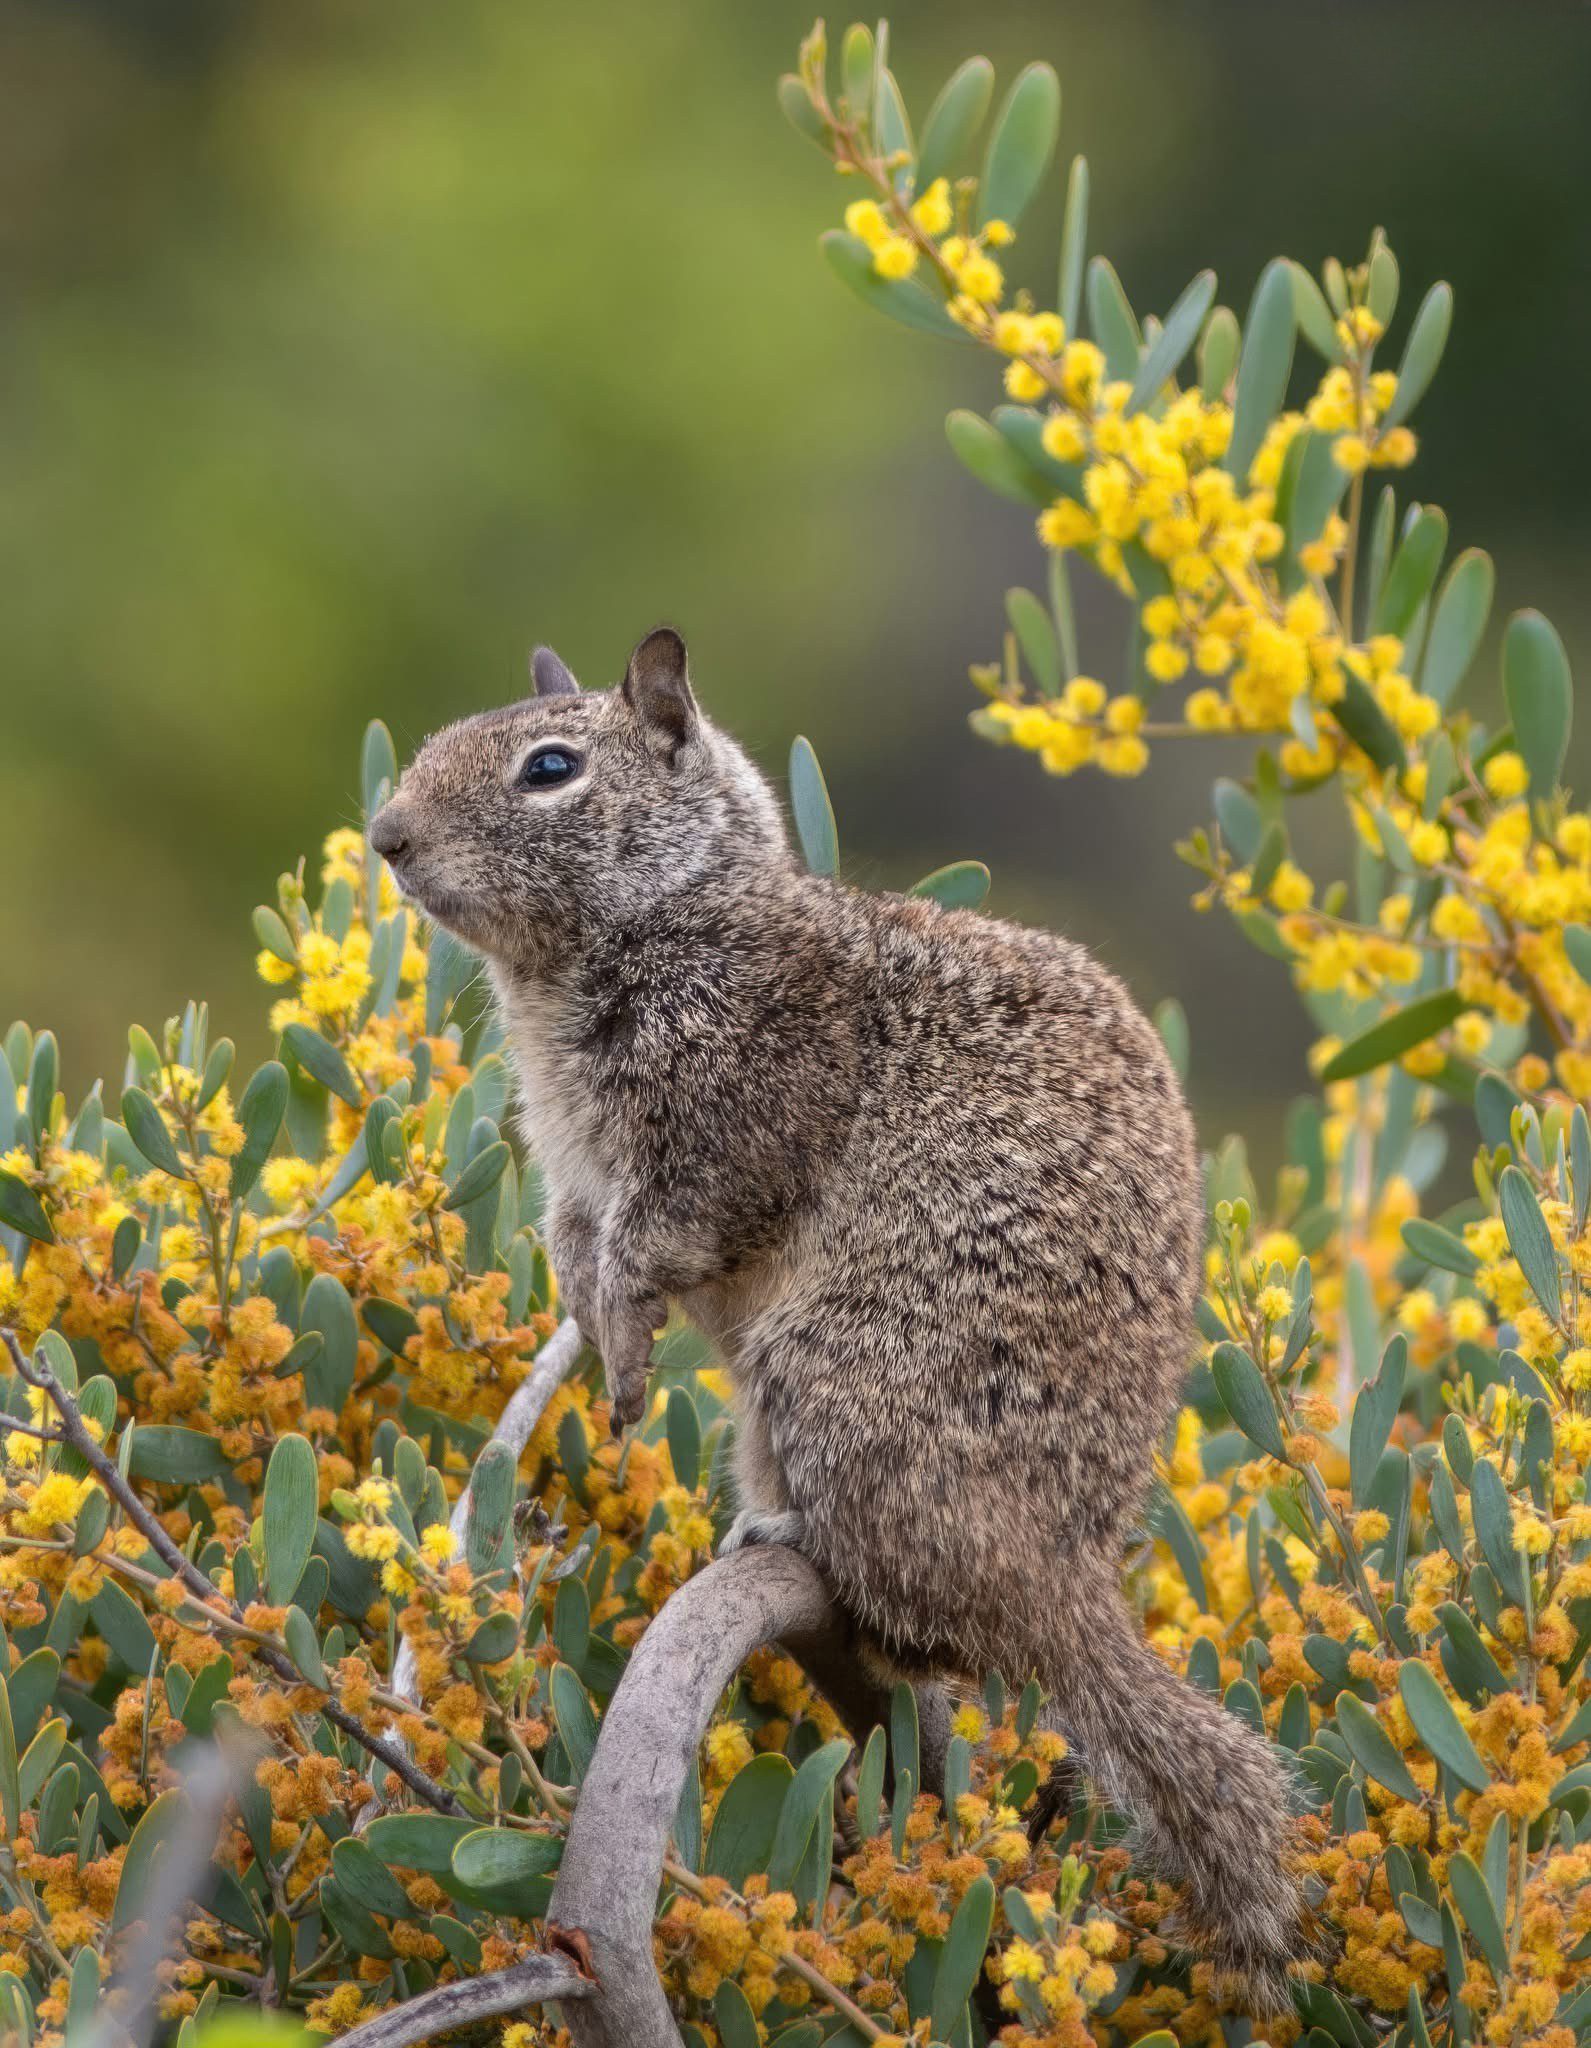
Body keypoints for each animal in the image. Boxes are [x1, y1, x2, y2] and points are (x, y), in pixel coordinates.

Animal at [368, 626, 1306, 2010]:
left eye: (549, 767)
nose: (385, 835)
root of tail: (1064, 1573)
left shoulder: (724, 1118)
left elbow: (660, 1235)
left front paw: (627, 1346)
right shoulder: (573, 1168)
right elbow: (581, 1244)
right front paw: (601, 1336)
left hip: (832, 1371)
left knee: (925, 1620)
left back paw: (788, 1527)